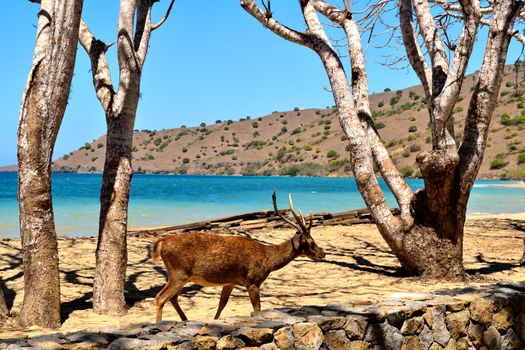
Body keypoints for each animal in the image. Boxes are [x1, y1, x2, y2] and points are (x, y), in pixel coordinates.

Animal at [150, 191, 324, 322]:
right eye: (311, 242)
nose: (323, 252)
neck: (269, 260)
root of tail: (161, 242)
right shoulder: (252, 281)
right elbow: (257, 308)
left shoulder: (231, 281)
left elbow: (222, 305)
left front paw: (215, 320)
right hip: (178, 273)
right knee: (160, 297)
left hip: (180, 276)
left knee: (172, 298)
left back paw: (185, 319)